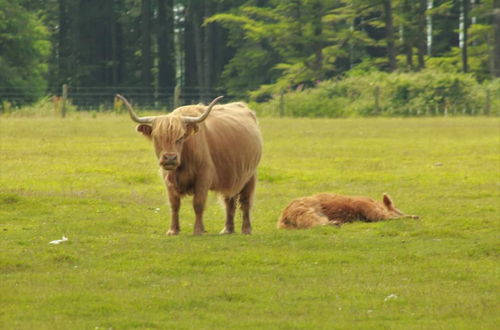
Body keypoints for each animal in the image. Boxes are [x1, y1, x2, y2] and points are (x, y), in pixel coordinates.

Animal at [117, 94, 264, 236]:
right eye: (156, 137)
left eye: (180, 137)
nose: (170, 158)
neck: (183, 163)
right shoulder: (168, 180)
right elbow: (174, 205)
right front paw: (173, 230)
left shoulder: (203, 176)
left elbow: (198, 204)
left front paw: (198, 230)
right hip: (232, 175)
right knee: (229, 201)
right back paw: (227, 229)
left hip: (250, 175)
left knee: (245, 202)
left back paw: (246, 229)